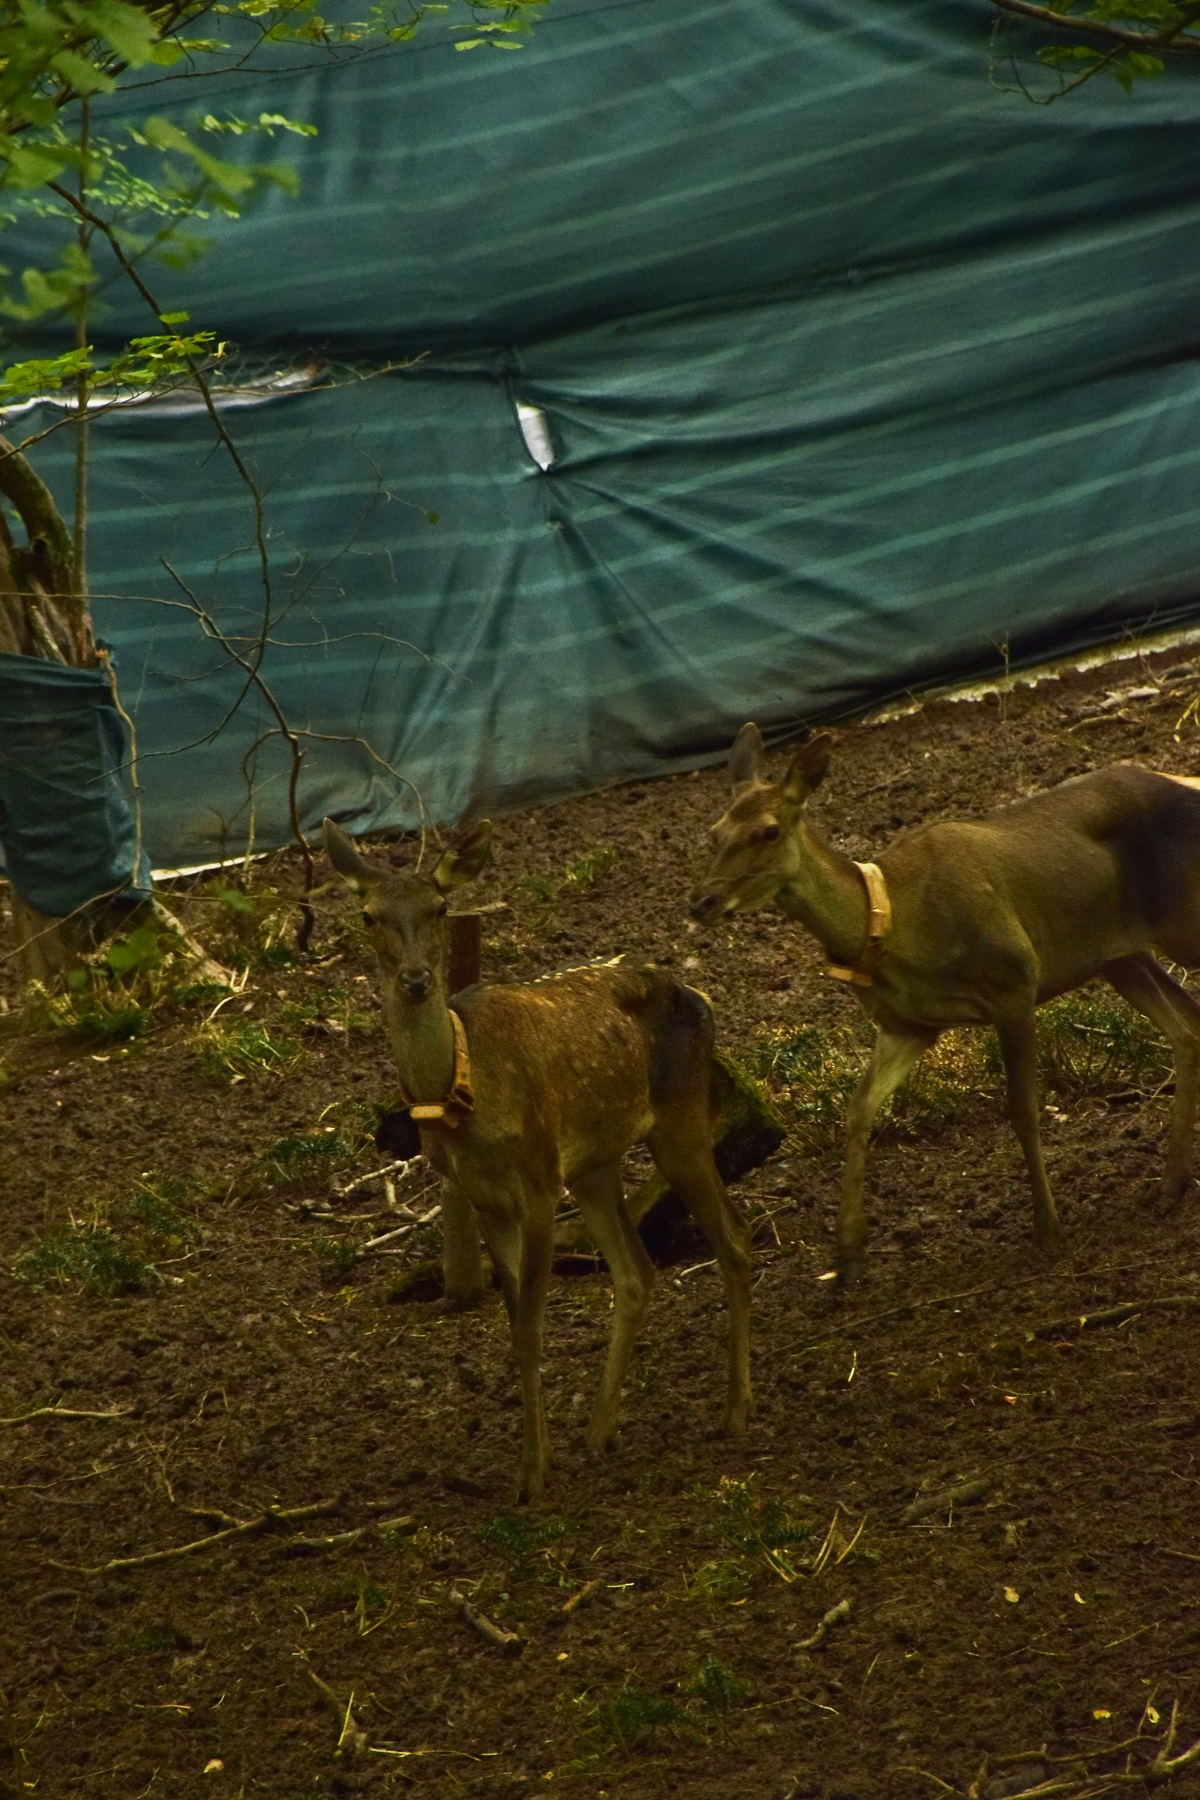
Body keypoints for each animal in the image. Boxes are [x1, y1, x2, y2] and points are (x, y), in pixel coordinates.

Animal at [324, 817, 752, 1501]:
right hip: (594, 1164)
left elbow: (529, 1330)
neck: (465, 1092)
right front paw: (537, 1462)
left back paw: (736, 1410)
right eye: (368, 915)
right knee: (637, 1271)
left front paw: (531, 1476)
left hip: (679, 1124)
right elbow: (514, 1326)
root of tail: (699, 996)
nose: (416, 979)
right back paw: (599, 1431)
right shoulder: (484, 1197)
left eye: (440, 907)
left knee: (734, 1242)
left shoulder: (539, 1183)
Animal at [689, 724, 1200, 1282]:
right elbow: (859, 1110)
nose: (701, 902)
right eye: (713, 833)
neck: (897, 923)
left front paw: (1048, 1228)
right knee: (1186, 1027)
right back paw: (1170, 1186)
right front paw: (848, 1254)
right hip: (1117, 954)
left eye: (769, 831)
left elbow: (1023, 1109)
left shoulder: (1014, 979)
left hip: (1178, 922)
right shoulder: (907, 1024)